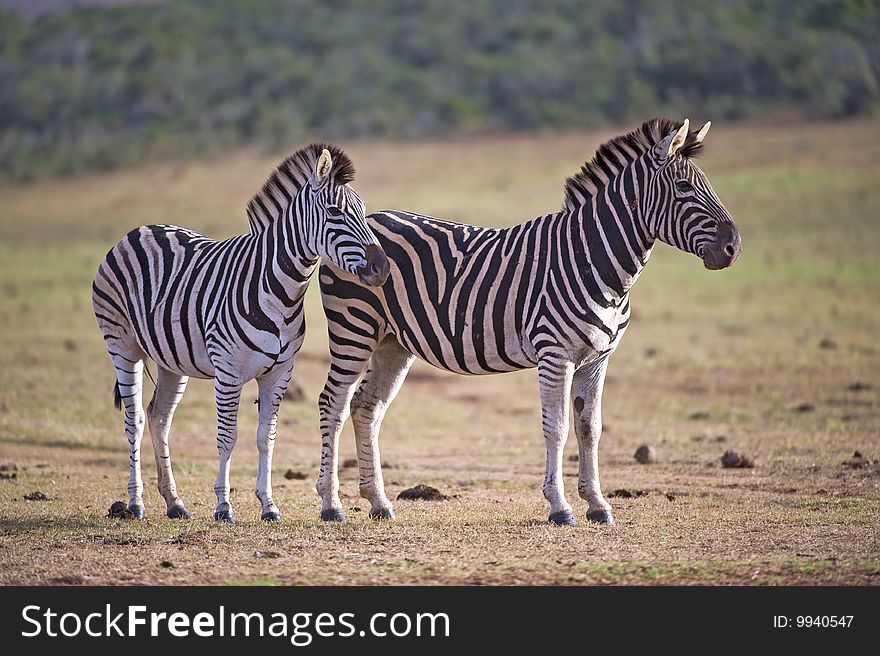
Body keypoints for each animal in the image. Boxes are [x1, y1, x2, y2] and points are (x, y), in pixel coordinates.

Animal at [92, 142, 388, 524]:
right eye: (335, 212)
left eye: (363, 211)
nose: (382, 268)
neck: (279, 290)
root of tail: (138, 231)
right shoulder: (229, 372)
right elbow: (228, 436)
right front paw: (223, 506)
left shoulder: (280, 372)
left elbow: (266, 437)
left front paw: (269, 506)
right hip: (122, 345)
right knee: (136, 420)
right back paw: (135, 503)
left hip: (171, 361)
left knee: (159, 418)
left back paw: (175, 502)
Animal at [316, 118, 744, 524]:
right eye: (685, 187)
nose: (734, 248)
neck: (593, 259)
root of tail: (368, 218)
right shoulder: (556, 355)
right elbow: (556, 428)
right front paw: (560, 507)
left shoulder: (597, 360)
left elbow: (590, 429)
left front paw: (598, 504)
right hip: (353, 329)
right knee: (333, 403)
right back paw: (331, 504)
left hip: (392, 342)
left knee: (366, 407)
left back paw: (378, 502)